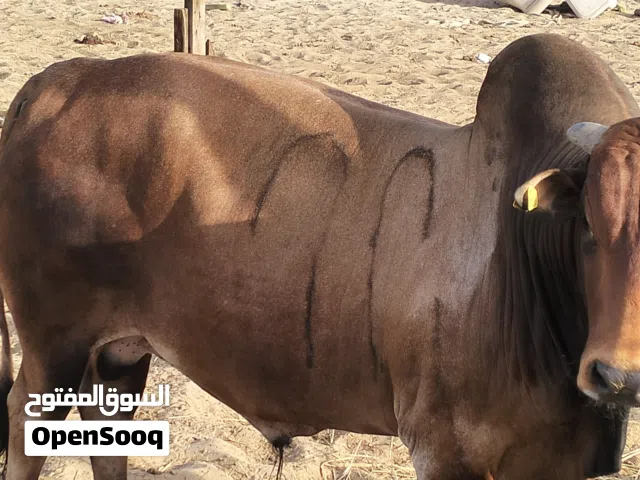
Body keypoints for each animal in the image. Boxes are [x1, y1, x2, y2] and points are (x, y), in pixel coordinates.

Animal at [0, 32, 638, 479]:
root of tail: (57, 81)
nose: (618, 376)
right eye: (588, 223)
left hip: (121, 352)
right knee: (24, 425)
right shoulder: (445, 450)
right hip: (53, 348)